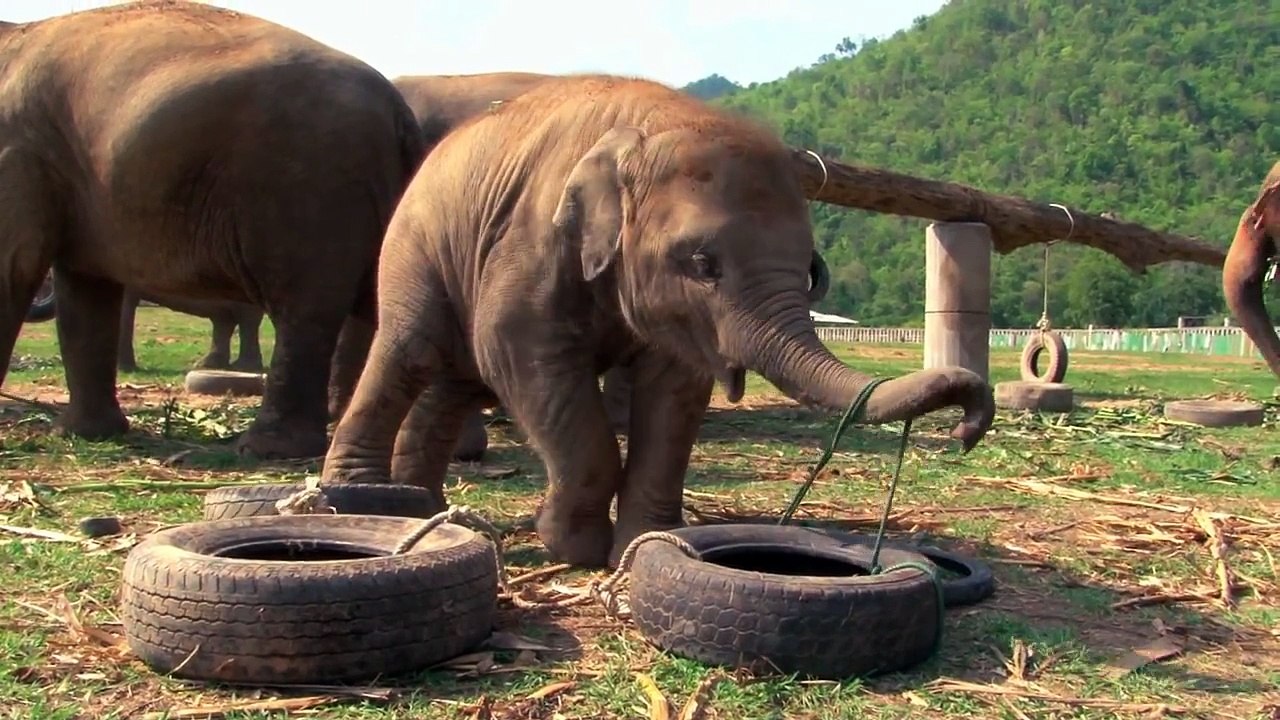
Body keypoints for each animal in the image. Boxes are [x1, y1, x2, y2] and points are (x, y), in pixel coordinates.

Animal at [0, 1, 425, 459]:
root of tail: (398, 111)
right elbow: (86, 288)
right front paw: (84, 434)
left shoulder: (15, 155)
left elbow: (15, 268)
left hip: (310, 189)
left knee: (304, 311)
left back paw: (264, 449)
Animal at [320, 74, 996, 569]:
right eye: (702, 263)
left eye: (810, 272)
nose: (966, 429)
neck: (647, 126)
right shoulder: (533, 240)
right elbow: (525, 356)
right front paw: (575, 547)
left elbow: (676, 390)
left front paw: (649, 543)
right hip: (413, 247)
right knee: (411, 352)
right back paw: (360, 503)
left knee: (458, 383)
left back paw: (419, 507)